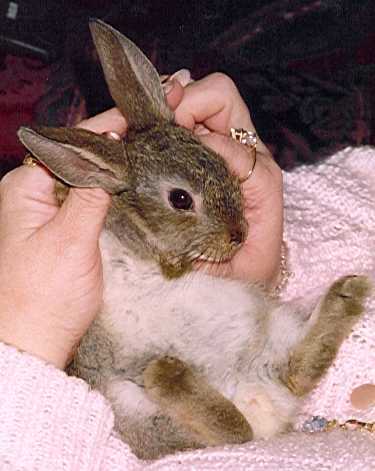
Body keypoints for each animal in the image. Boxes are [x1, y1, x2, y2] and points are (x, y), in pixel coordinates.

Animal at [16, 19, 372, 460]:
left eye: (222, 164)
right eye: (181, 199)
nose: (239, 235)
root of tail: (255, 395)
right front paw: (63, 191)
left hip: (271, 328)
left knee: (276, 391)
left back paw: (346, 294)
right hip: (130, 403)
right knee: (231, 431)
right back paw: (171, 372)